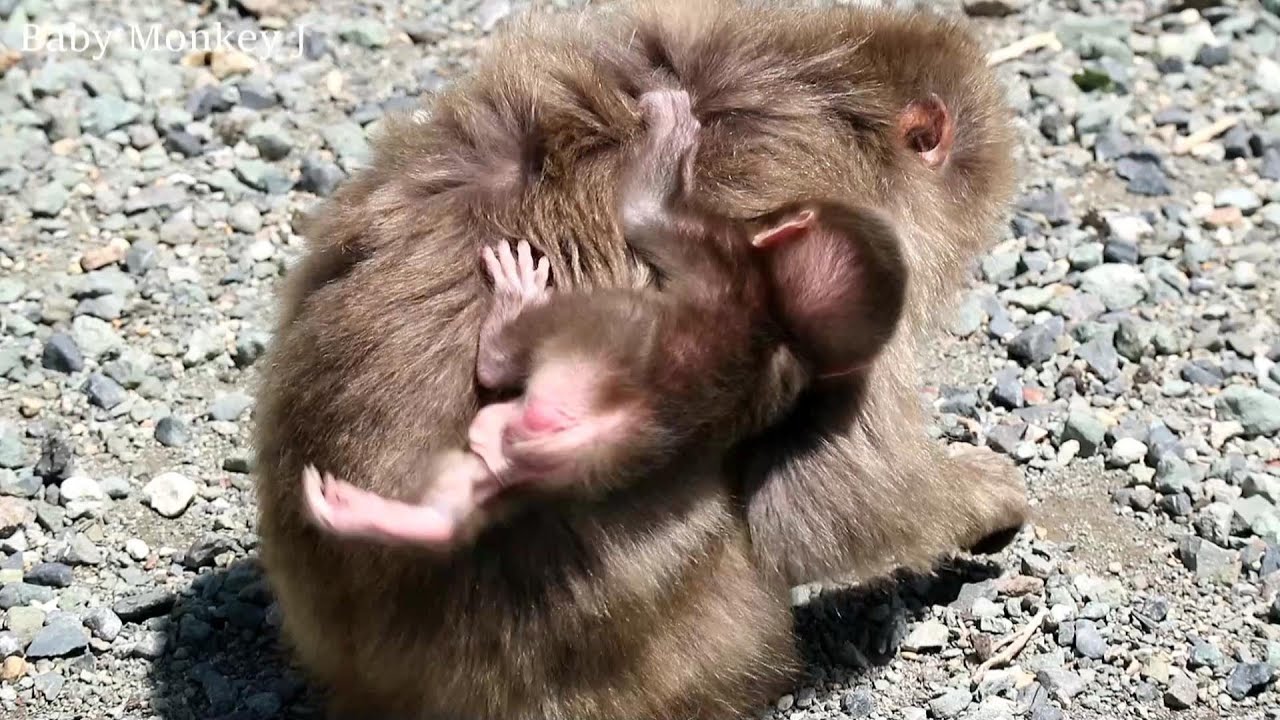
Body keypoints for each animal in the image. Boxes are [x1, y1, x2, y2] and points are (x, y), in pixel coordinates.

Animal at [301, 88, 909, 550]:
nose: (766, 214)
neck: (782, 321)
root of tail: (597, 433)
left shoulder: (714, 245)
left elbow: (643, 212)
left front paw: (672, 130)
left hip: (586, 340)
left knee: (506, 364)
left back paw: (512, 308)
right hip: (539, 470)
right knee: (467, 499)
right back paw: (382, 518)